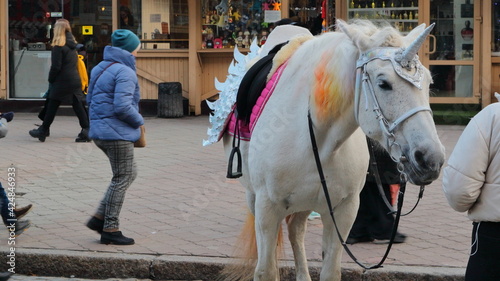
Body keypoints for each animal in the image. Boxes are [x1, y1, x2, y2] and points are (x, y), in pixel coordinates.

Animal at [219, 20, 446, 280]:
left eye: (428, 83)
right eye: (383, 83)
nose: (431, 159)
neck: (318, 141)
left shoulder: (343, 211)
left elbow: (330, 270)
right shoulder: (267, 208)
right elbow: (266, 270)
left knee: (296, 230)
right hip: (253, 196)